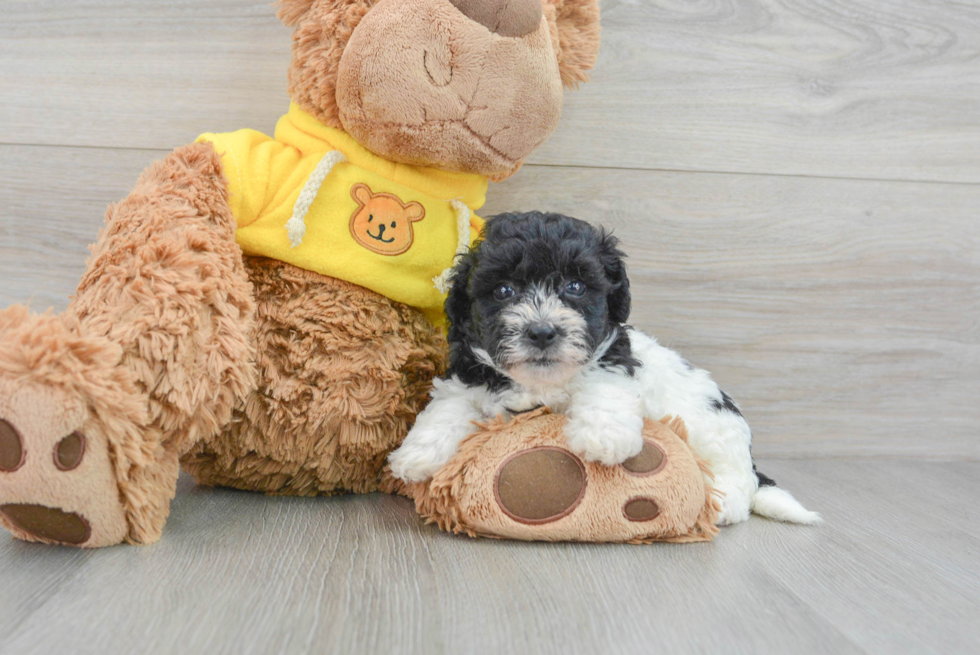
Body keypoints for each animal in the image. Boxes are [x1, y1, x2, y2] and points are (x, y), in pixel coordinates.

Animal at [388, 213, 820, 524]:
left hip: (717, 434)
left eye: (576, 287)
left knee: (737, 485)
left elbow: (602, 386)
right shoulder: (469, 374)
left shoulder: (616, 359)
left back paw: (720, 502)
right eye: (504, 290)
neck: (542, 382)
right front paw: (416, 455)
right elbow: (448, 404)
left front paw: (603, 437)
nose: (541, 332)